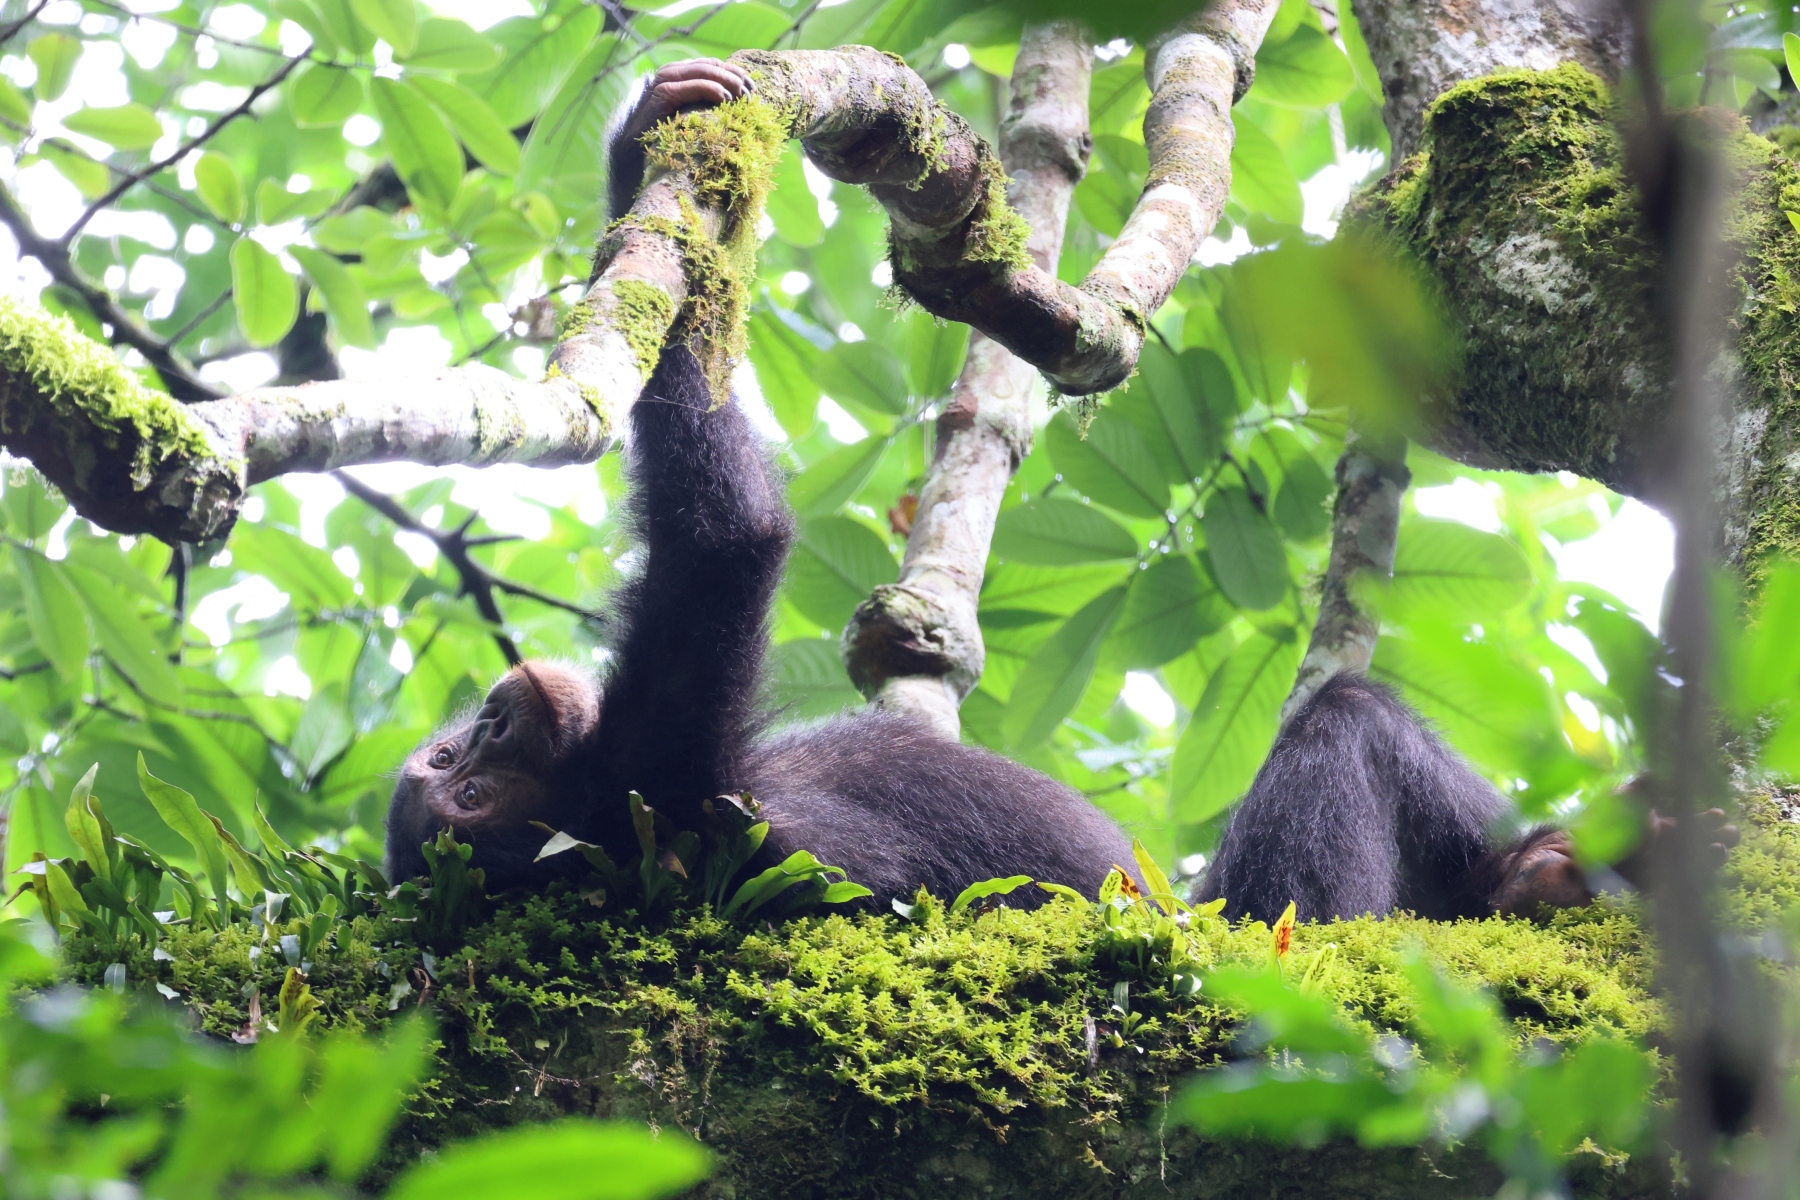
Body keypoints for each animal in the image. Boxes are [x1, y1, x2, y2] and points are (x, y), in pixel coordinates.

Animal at [383, 58, 1714, 923]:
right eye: (461, 781)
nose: (490, 714)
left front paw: (644, 150)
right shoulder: (666, 774)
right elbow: (726, 537)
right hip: (1277, 942)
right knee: (1340, 747)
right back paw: (1542, 881)